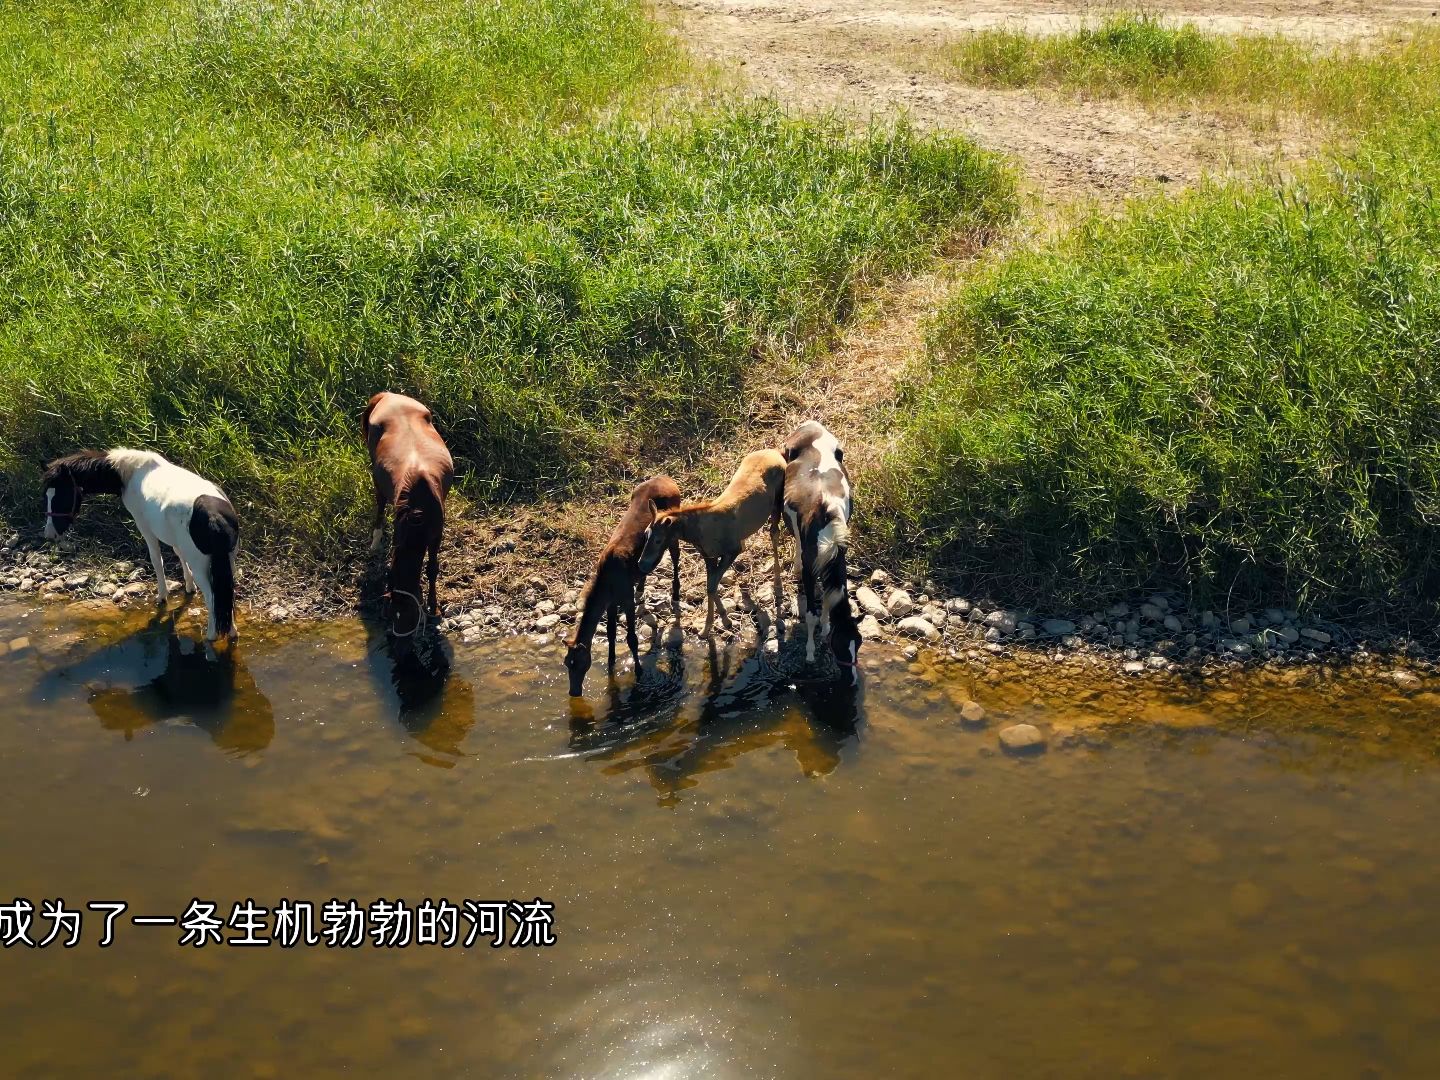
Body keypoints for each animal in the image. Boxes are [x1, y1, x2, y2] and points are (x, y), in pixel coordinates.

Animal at [41, 449, 241, 642]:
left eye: (61, 495)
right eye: (46, 496)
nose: (50, 534)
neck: (132, 472)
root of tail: (214, 517)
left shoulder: (145, 528)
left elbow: (157, 561)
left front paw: (162, 596)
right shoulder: (175, 539)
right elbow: (178, 553)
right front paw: (189, 587)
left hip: (202, 566)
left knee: (212, 596)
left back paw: (212, 634)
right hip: (228, 561)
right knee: (226, 593)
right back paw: (232, 631)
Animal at [362, 394, 452, 650]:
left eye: (410, 617)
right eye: (392, 616)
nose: (400, 647)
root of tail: (389, 395)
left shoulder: (436, 533)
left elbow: (432, 568)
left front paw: (433, 606)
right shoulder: (400, 529)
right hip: (377, 476)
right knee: (380, 504)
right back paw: (375, 541)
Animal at [636, 449, 783, 639]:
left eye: (659, 540)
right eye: (646, 534)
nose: (641, 564)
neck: (696, 534)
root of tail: (776, 451)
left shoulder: (731, 550)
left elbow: (712, 586)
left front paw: (708, 628)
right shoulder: (709, 556)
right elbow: (710, 585)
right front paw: (723, 621)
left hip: (777, 503)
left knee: (774, 533)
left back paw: (778, 586)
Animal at [783, 423, 858, 685]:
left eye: (858, 644)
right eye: (841, 646)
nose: (852, 680)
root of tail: (810, 425)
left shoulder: (836, 561)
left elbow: (827, 598)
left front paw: (825, 627)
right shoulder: (811, 567)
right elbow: (811, 614)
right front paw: (810, 652)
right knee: (796, 537)